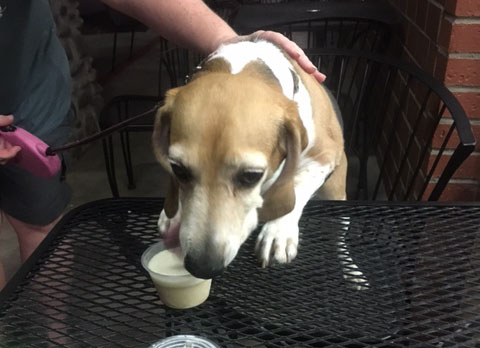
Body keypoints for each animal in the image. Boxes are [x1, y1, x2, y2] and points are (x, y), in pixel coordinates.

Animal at [152, 39, 346, 278]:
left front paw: (278, 230)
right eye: (178, 170)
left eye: (251, 177)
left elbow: (295, 187)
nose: (202, 267)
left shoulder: (324, 155)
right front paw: (173, 214)